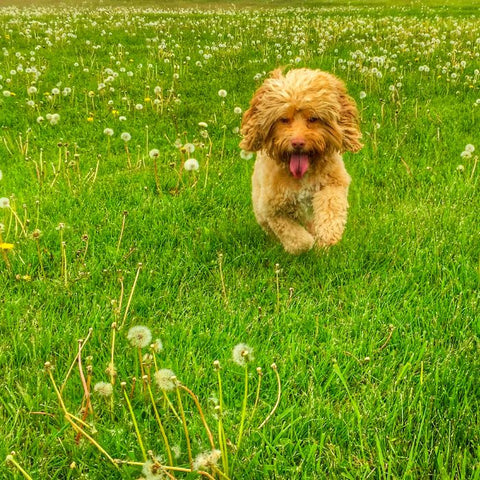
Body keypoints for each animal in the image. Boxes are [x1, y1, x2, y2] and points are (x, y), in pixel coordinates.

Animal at [242, 68, 362, 255]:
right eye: (284, 119)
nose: (297, 143)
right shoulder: (273, 210)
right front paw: (305, 245)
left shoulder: (334, 184)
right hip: (261, 210)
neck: (302, 175)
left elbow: (331, 209)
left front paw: (327, 237)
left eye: (313, 118)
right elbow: (296, 239)